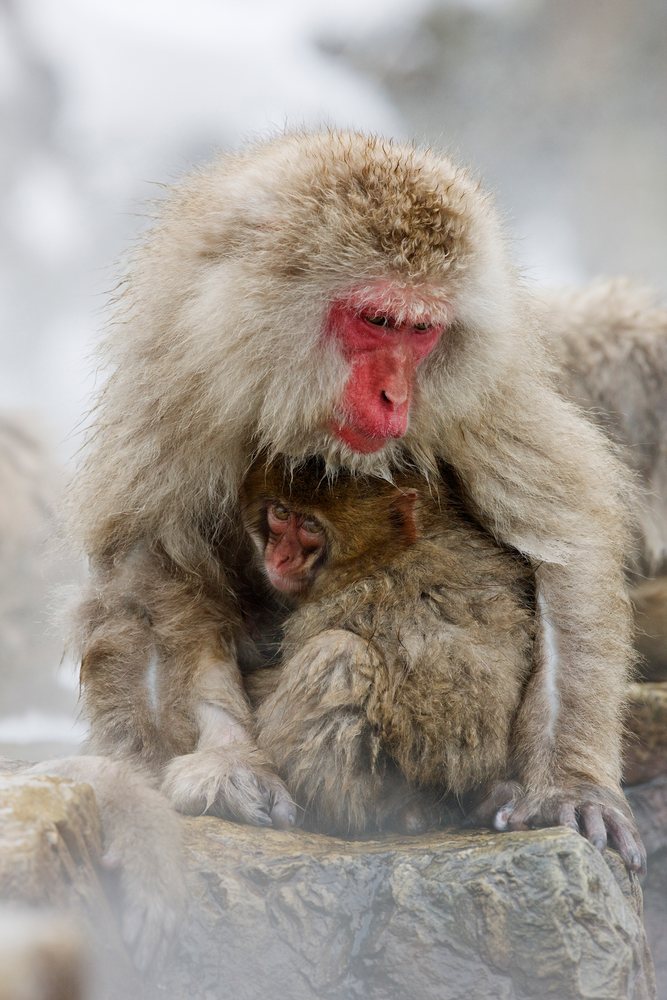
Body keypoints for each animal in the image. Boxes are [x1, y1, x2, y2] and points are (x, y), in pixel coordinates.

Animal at [73, 129, 641, 867]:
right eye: (377, 320)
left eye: (421, 331)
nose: (394, 397)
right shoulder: (180, 381)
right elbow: (153, 562)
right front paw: (228, 760)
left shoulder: (475, 397)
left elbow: (563, 540)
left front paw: (570, 784)